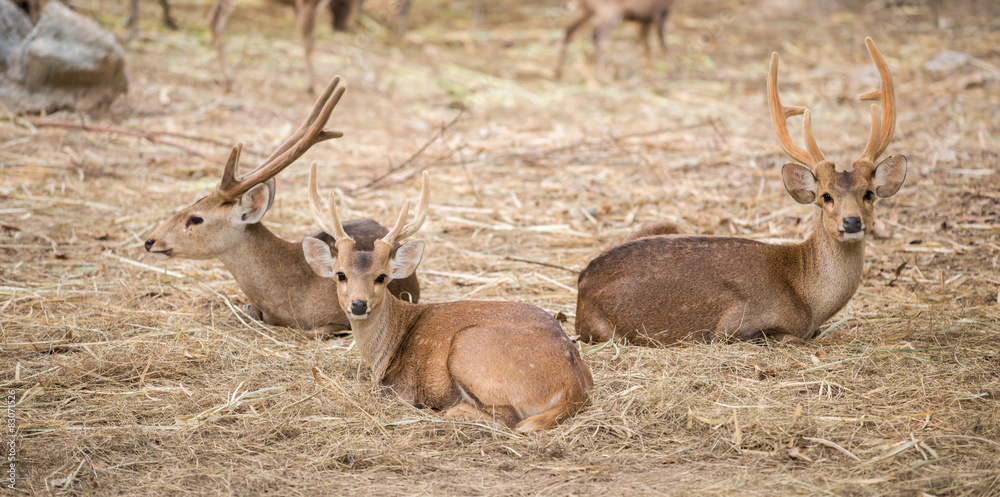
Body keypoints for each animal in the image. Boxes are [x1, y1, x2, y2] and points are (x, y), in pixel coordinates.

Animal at [300, 167, 588, 430]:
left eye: (381, 277)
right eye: (341, 274)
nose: (359, 304)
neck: (385, 351)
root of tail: (572, 385)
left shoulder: (398, 388)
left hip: (469, 348)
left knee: (509, 418)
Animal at [572, 37, 908, 344]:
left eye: (868, 193)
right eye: (826, 196)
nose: (852, 222)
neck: (807, 300)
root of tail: (582, 281)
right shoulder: (736, 325)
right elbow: (790, 337)